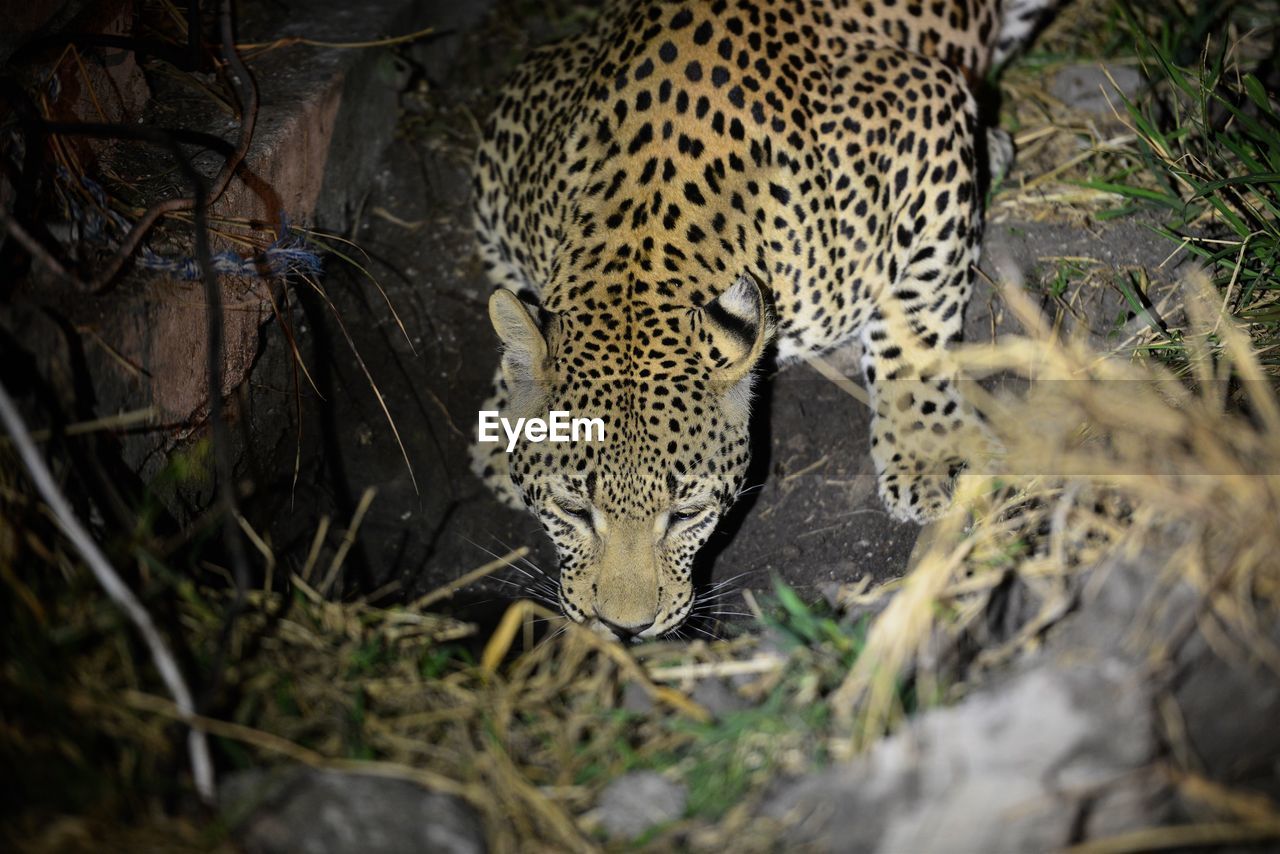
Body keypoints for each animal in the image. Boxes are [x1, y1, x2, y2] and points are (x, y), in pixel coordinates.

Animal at [471, 1, 1059, 640]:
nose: (625, 629)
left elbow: (917, 317)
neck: (644, 229)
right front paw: (502, 418)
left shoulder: (927, 113)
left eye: (687, 514)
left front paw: (931, 454)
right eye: (573, 509)